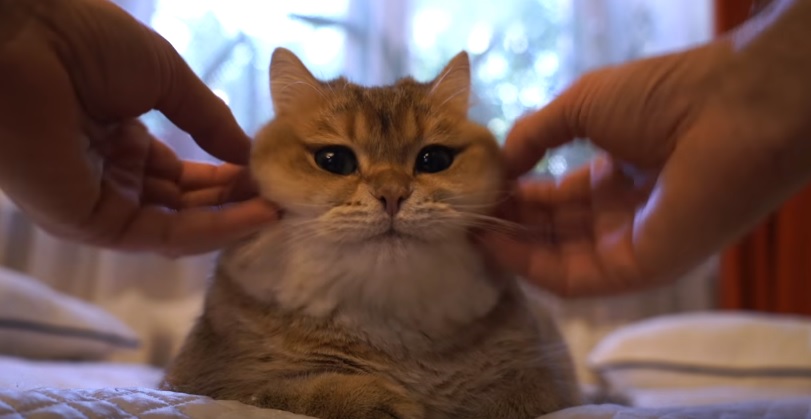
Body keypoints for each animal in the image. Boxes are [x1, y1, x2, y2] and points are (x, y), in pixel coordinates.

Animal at [163, 47, 584, 418]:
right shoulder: (205, 381)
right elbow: (278, 391)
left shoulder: (543, 379)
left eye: (434, 159)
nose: (393, 194)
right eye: (333, 160)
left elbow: (508, 400)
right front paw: (376, 399)